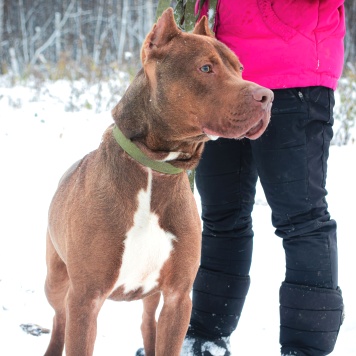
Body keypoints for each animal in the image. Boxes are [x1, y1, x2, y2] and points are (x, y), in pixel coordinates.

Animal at [43, 8, 272, 356]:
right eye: (206, 68)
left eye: (240, 68)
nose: (267, 96)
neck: (156, 169)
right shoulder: (85, 299)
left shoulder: (178, 297)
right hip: (56, 281)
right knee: (59, 318)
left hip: (151, 296)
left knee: (147, 321)